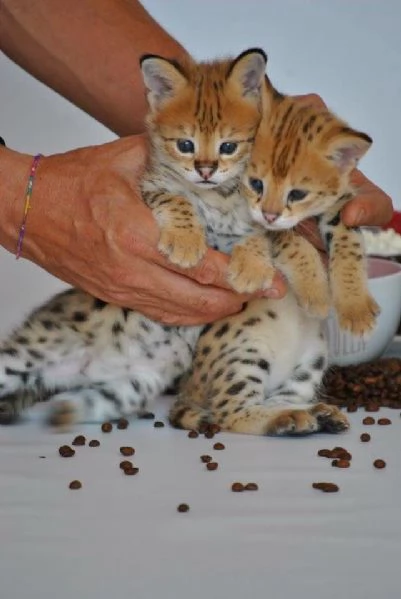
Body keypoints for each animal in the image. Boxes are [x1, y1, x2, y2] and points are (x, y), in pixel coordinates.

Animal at [0, 49, 268, 428]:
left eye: (228, 146)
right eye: (185, 145)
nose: (205, 170)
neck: (217, 196)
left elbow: (258, 235)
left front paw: (254, 268)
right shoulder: (150, 187)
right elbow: (177, 199)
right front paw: (186, 243)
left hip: (132, 384)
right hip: (28, 352)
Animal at [169, 78, 376, 436]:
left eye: (298, 193)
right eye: (256, 183)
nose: (269, 214)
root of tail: (187, 388)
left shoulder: (341, 205)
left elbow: (349, 242)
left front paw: (355, 307)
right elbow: (289, 241)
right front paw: (316, 293)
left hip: (309, 364)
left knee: (276, 399)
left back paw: (315, 414)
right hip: (244, 354)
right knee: (232, 413)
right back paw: (289, 418)